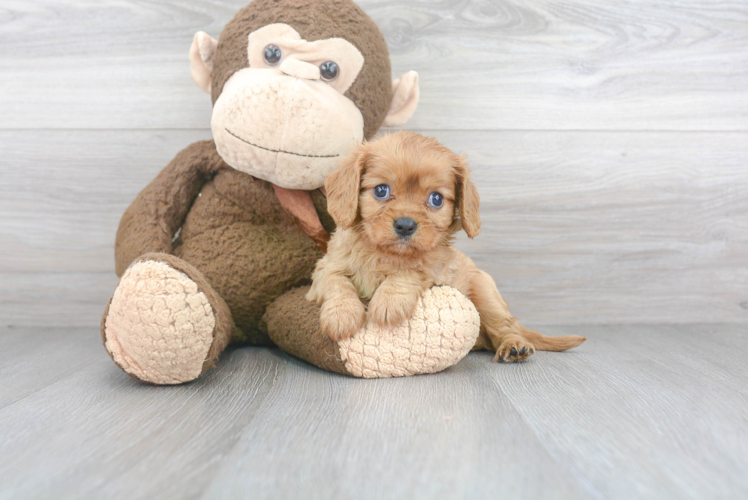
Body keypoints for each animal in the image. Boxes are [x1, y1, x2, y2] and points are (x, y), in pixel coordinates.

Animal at [306, 131, 588, 362]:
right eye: (381, 190)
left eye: (436, 199)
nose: (405, 225)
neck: (387, 254)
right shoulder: (325, 268)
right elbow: (337, 283)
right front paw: (341, 315)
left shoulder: (437, 271)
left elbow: (412, 271)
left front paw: (388, 302)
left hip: (484, 290)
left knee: (504, 327)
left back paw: (514, 346)